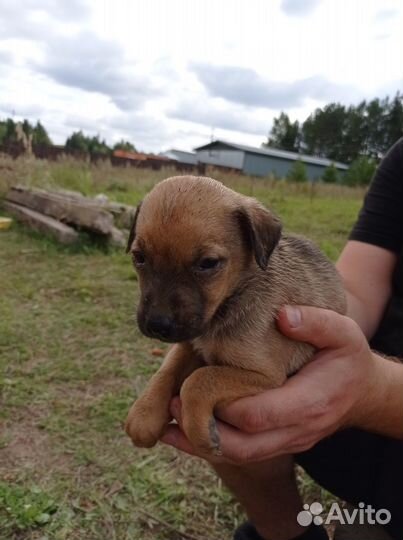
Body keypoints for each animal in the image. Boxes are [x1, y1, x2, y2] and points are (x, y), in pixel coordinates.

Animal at [126, 176, 348, 456]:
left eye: (208, 263)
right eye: (139, 257)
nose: (156, 325)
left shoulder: (266, 375)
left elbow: (199, 380)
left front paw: (200, 431)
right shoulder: (189, 344)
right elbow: (166, 371)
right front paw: (144, 415)